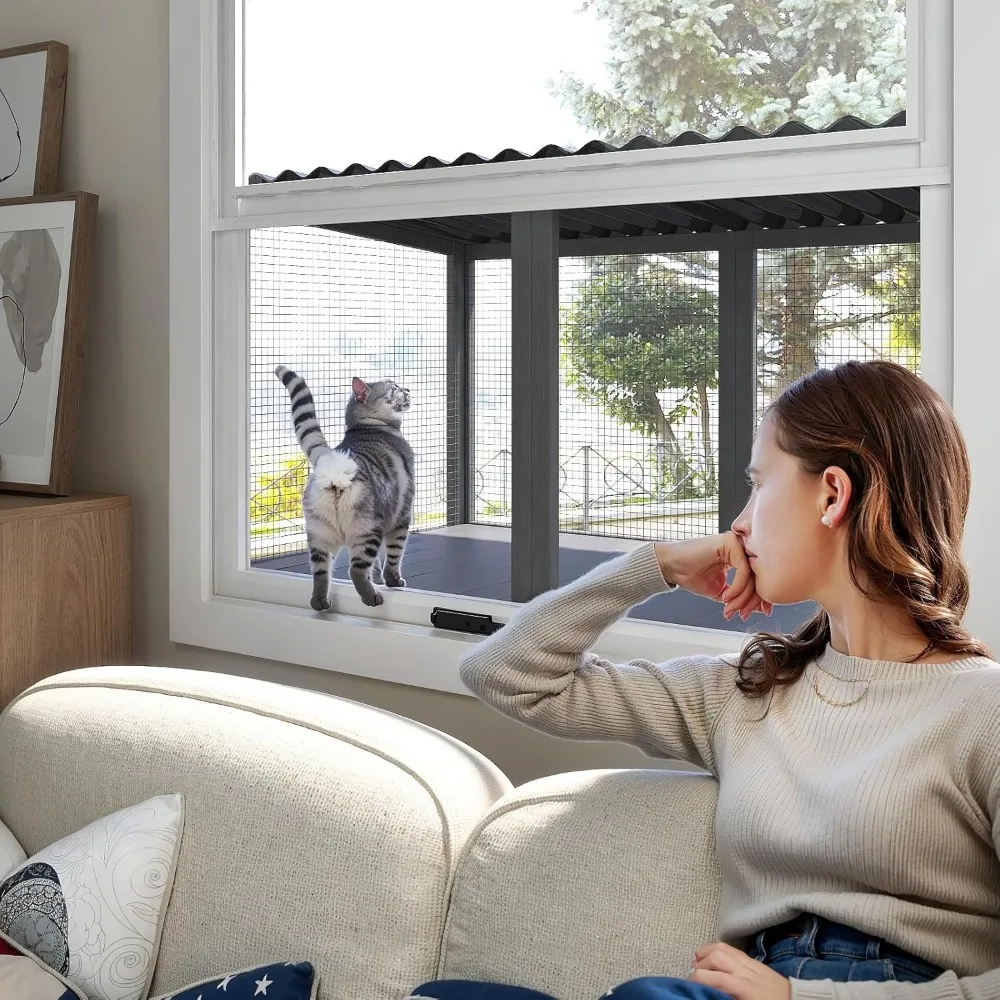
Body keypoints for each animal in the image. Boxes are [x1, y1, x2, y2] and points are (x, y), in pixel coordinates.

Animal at [274, 366, 414, 608]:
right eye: (394, 388)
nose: (407, 389)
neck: (365, 427)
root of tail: (334, 464)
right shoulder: (401, 516)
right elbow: (394, 555)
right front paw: (393, 580)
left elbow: (378, 561)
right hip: (367, 530)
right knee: (355, 570)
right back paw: (372, 596)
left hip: (319, 535)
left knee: (321, 573)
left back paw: (320, 601)